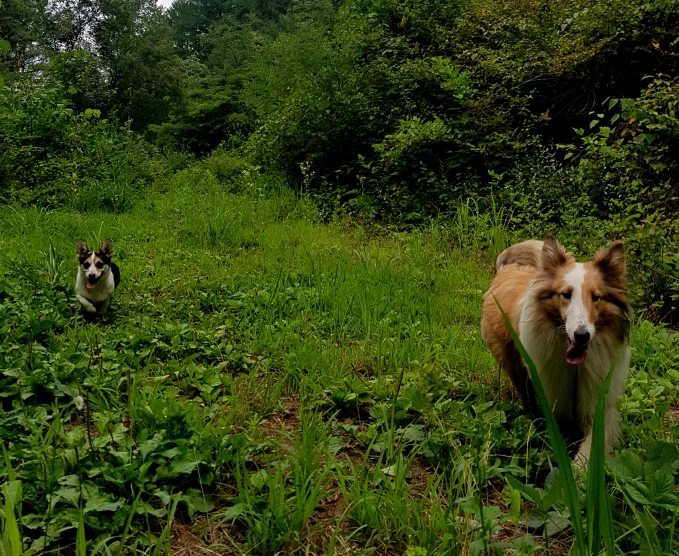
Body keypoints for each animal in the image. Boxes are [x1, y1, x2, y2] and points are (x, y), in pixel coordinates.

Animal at [481, 236, 630, 464]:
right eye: (565, 294)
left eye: (596, 297)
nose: (581, 335)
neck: (576, 369)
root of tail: (510, 268)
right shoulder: (554, 398)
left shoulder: (600, 403)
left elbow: (592, 445)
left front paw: (579, 469)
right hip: (512, 362)